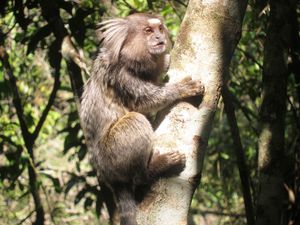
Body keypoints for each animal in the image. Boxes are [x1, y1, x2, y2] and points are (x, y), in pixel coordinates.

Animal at [79, 13, 204, 224]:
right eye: (148, 31)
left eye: (159, 29)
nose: (159, 39)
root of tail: (109, 177)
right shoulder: (121, 76)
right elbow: (146, 101)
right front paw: (182, 89)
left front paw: (167, 60)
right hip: (113, 154)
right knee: (135, 121)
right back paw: (155, 168)